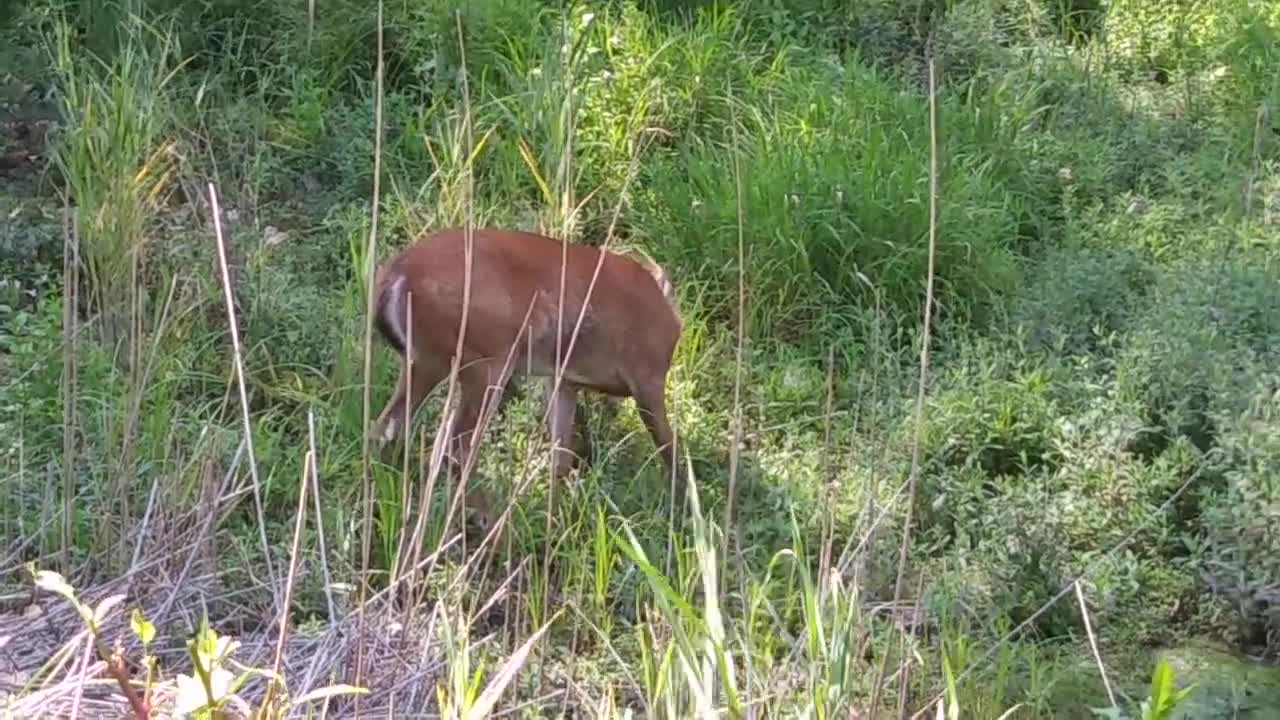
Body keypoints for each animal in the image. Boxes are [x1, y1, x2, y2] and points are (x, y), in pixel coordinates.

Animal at [368, 226, 686, 525]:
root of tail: (396, 275)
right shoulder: (648, 373)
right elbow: (670, 448)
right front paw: (684, 510)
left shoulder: (562, 380)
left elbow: (560, 456)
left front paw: (556, 519)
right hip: (486, 358)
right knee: (455, 447)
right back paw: (494, 520)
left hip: (424, 360)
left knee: (385, 429)